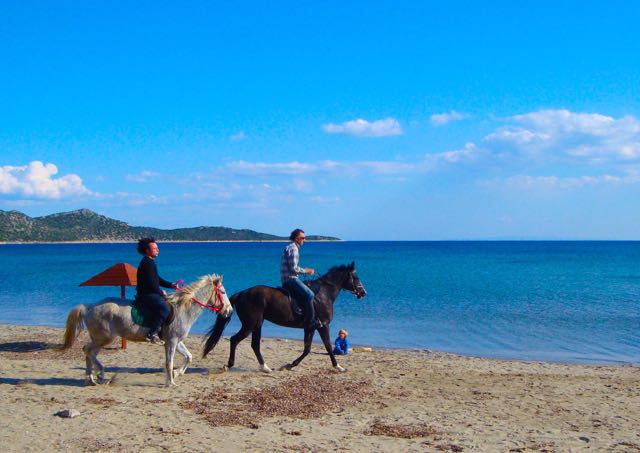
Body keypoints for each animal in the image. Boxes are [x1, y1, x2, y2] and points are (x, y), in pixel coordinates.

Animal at [62, 274, 232, 386]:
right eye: (223, 292)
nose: (229, 311)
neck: (183, 309)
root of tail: (89, 307)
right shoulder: (172, 341)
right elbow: (169, 362)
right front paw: (171, 382)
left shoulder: (176, 341)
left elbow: (188, 356)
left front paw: (176, 374)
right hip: (104, 338)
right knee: (88, 350)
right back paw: (101, 374)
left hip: (99, 339)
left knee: (89, 353)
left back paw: (91, 378)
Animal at [202, 262, 368, 370]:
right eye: (355, 277)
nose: (363, 292)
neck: (323, 294)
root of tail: (243, 293)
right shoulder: (323, 325)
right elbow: (327, 345)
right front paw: (338, 366)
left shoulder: (310, 327)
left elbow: (307, 348)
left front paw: (291, 364)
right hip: (250, 324)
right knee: (235, 340)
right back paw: (230, 364)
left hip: (257, 324)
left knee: (254, 345)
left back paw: (265, 367)